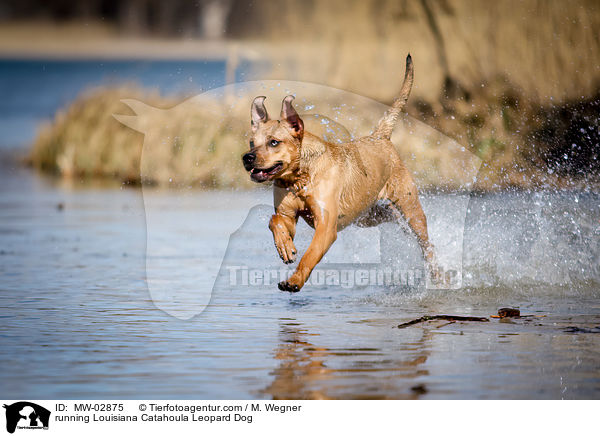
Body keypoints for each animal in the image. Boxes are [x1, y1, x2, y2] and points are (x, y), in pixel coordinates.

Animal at [241, 55, 438, 292]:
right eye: (252, 143)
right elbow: (275, 221)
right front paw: (285, 247)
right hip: (369, 213)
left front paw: (295, 280)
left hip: (410, 209)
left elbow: (310, 255)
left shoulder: (326, 226)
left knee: (427, 245)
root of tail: (380, 136)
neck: (300, 178)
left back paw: (437, 274)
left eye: (274, 142)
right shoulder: (288, 214)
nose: (247, 158)